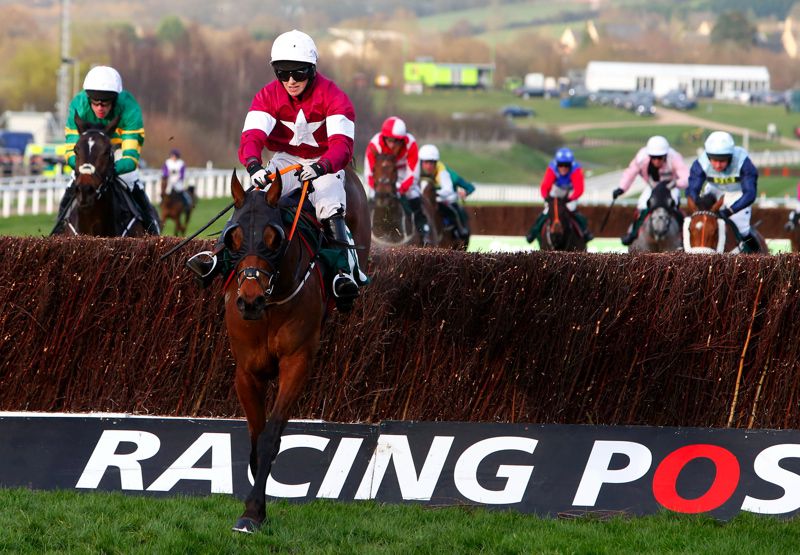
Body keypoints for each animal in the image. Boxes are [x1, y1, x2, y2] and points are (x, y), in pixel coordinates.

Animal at [227, 166, 370, 536]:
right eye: (234, 236)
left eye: (273, 238)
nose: (249, 301)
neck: (272, 302)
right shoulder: (246, 371)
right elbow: (255, 436)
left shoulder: (297, 362)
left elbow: (270, 437)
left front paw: (253, 511)